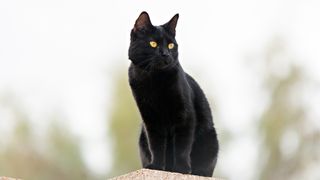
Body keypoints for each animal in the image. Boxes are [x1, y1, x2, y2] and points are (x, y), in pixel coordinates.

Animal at [129, 11, 219, 177]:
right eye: (153, 44)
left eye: (171, 45)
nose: (165, 54)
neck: (155, 80)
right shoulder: (150, 119)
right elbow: (156, 144)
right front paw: (156, 166)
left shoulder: (185, 115)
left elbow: (182, 146)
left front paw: (181, 169)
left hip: (210, 139)